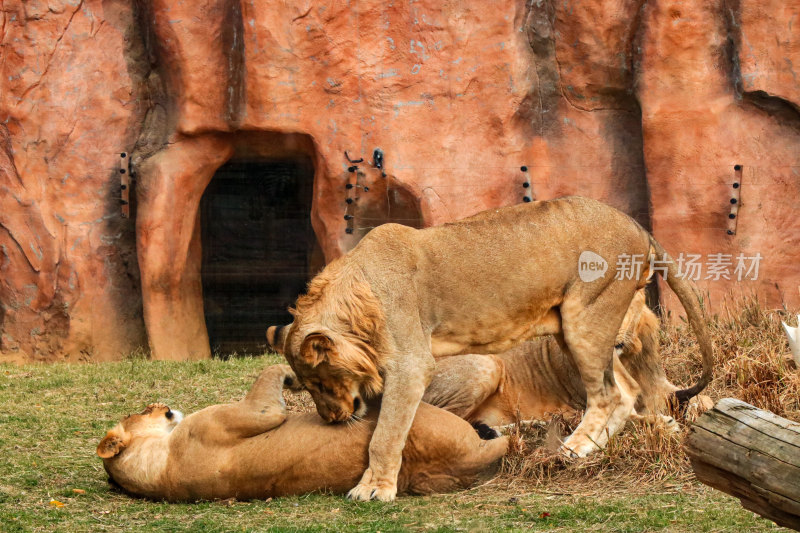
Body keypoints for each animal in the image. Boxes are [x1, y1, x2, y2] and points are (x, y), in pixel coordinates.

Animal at [95, 362, 506, 498]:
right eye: (143, 411)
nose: (160, 404)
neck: (159, 471)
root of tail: (466, 461)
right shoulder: (255, 413)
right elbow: (271, 374)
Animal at [274, 195, 712, 498]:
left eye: (320, 383)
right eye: (306, 387)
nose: (331, 420)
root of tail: (638, 226)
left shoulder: (411, 365)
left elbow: (386, 433)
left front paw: (373, 488)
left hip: (584, 317)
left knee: (611, 394)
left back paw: (573, 448)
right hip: (572, 330)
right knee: (625, 390)